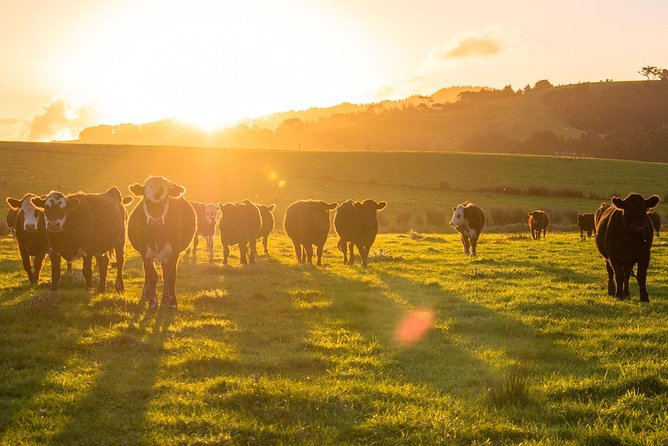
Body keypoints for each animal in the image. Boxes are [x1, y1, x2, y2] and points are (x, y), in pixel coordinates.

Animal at [128, 176, 196, 308]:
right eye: (146, 199)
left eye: (165, 200)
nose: (155, 221)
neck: (158, 233)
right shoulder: (145, 252)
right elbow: (152, 276)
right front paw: (153, 302)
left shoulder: (174, 252)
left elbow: (170, 277)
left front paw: (173, 302)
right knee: (148, 275)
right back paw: (145, 296)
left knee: (165, 274)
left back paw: (165, 298)